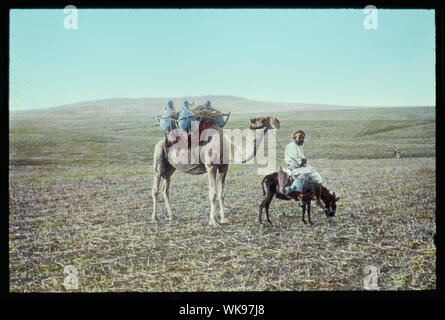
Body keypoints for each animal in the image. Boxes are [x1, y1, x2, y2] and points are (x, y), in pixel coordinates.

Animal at [151, 116, 280, 226]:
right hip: (159, 159)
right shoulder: (211, 166)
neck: (227, 148)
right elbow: (212, 194)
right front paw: (213, 221)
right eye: (262, 119)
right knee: (155, 188)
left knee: (165, 189)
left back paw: (172, 216)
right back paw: (155, 218)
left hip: (170, 169)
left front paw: (224, 219)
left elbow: (221, 194)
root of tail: (163, 140)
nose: (277, 122)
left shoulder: (224, 167)